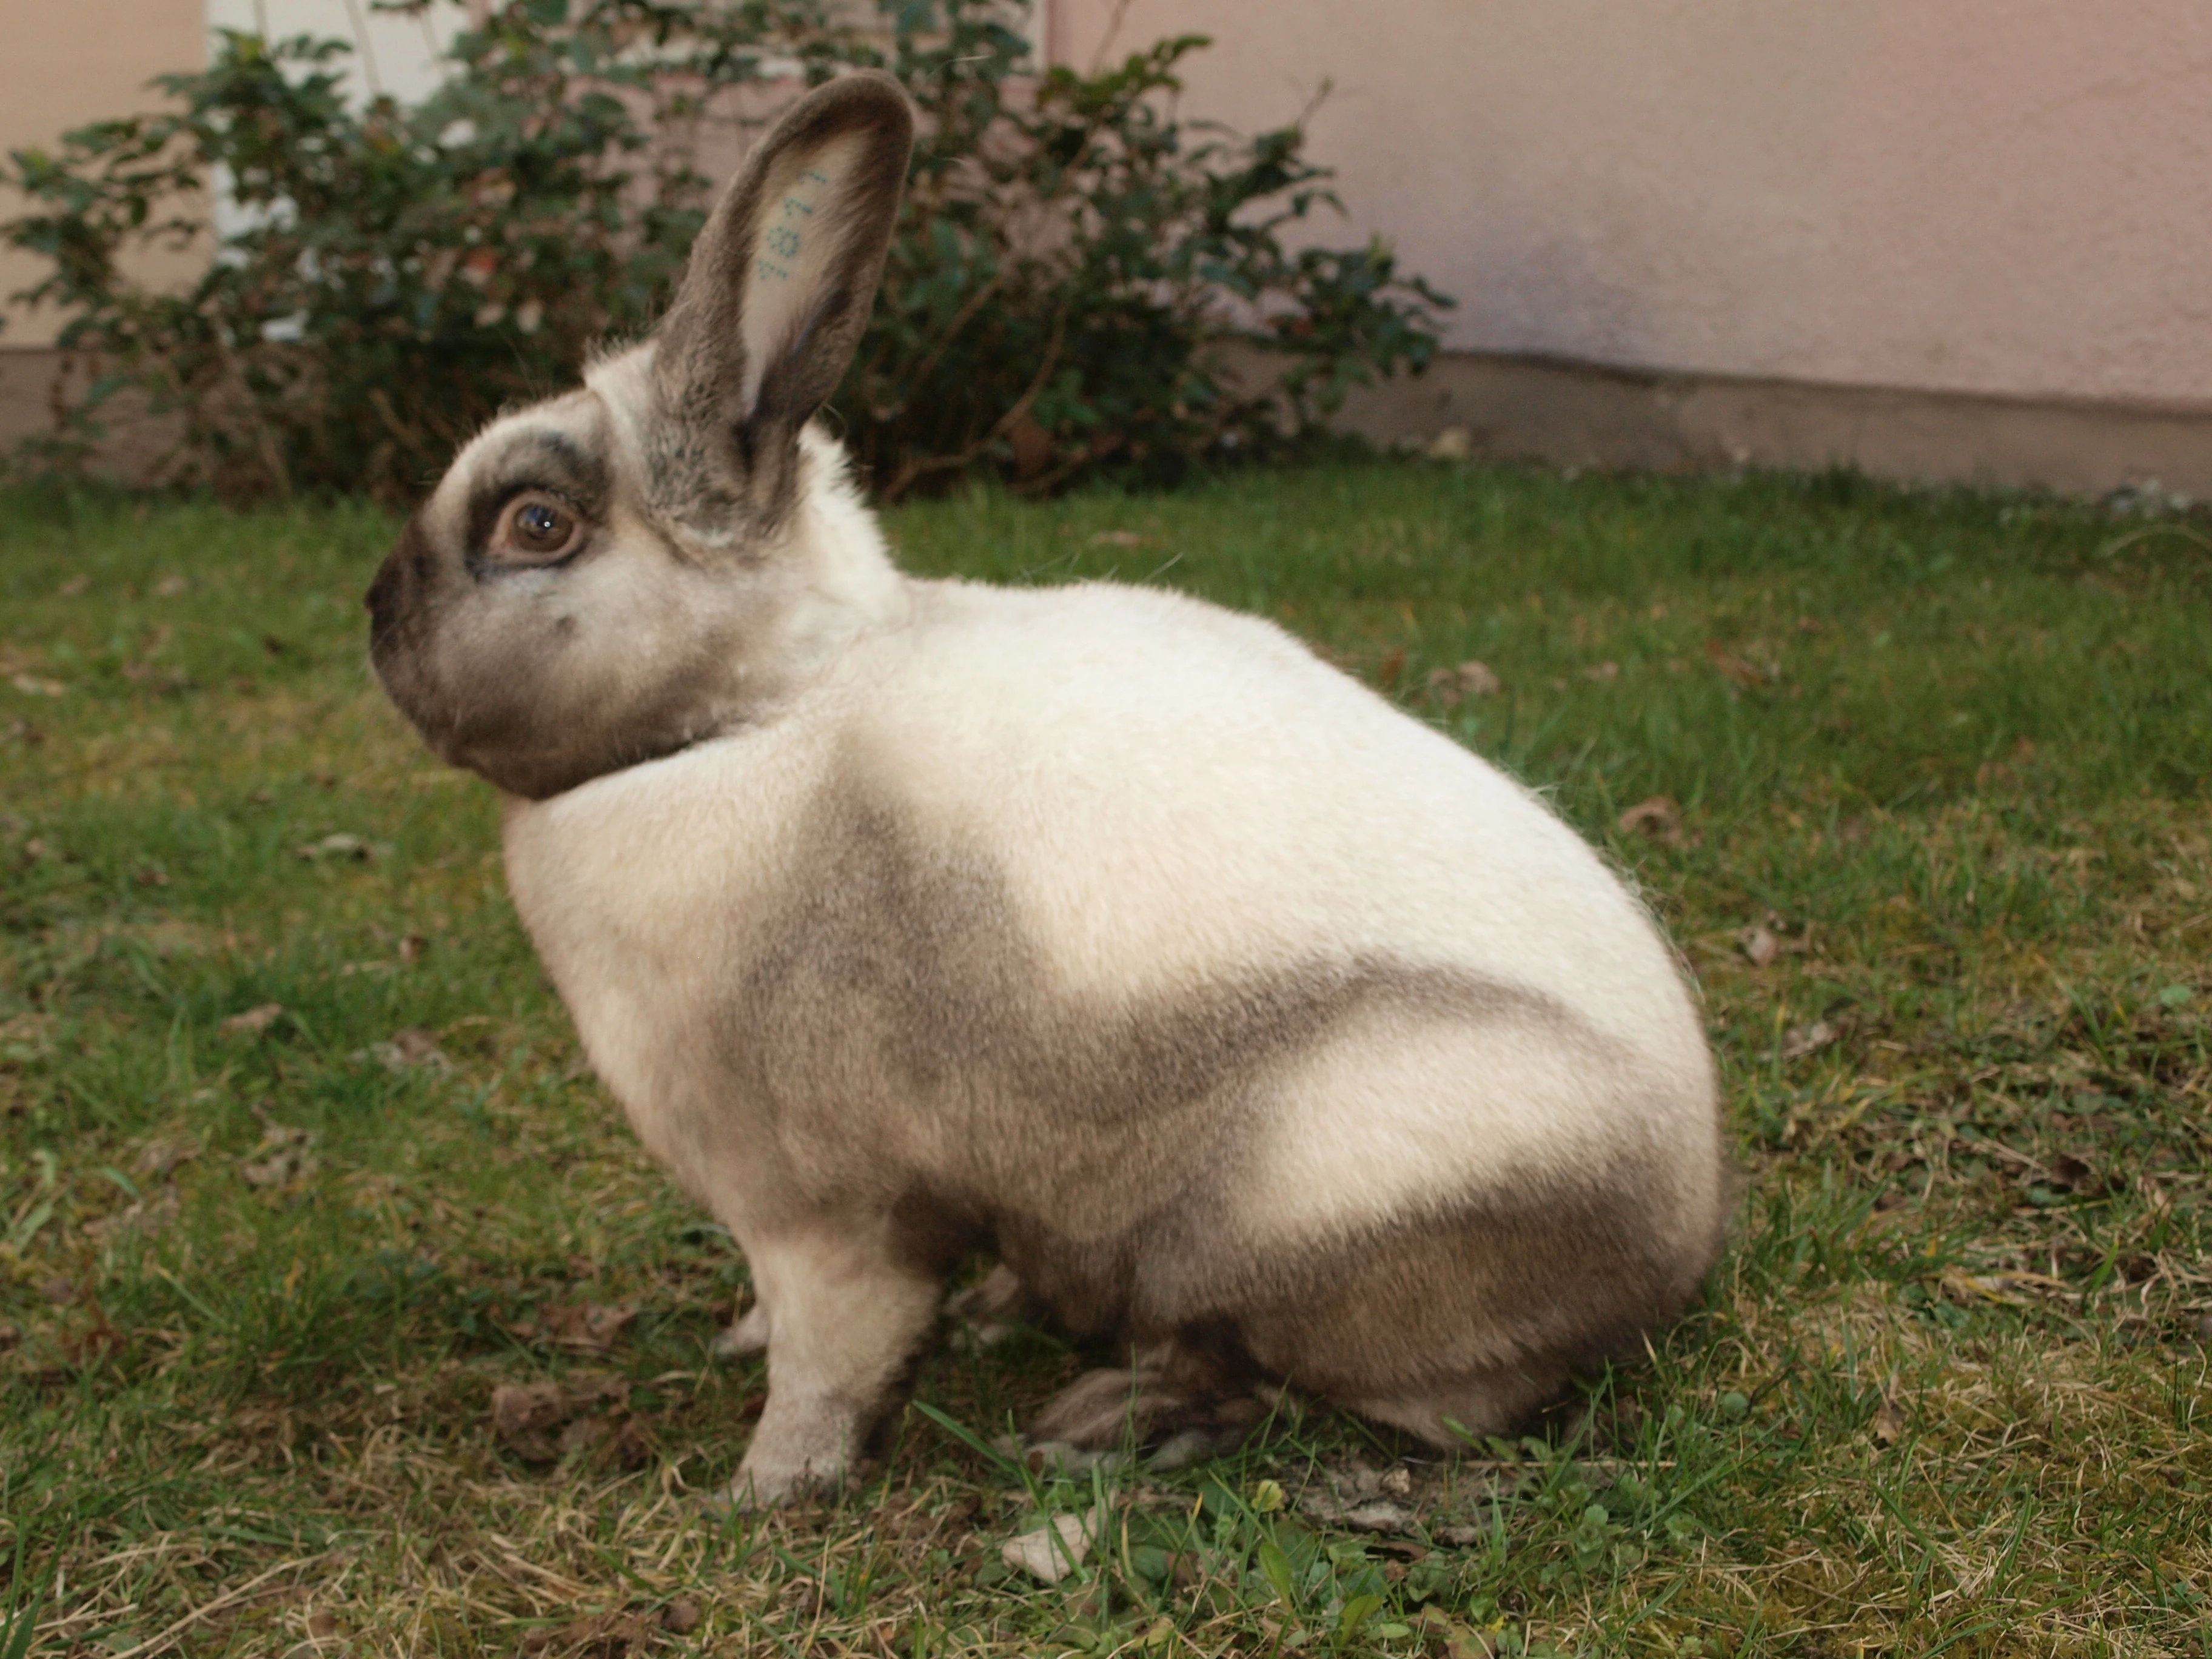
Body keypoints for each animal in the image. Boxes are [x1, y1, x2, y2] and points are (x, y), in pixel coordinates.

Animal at [365, 71, 1729, 1507]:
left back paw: (1106, 1414)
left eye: (537, 527)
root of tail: (1672, 1250)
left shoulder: (822, 1217)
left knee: (1321, 1384)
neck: (759, 712)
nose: (374, 617)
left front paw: (768, 1491)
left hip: (1315, 1208)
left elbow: (829, 1355)